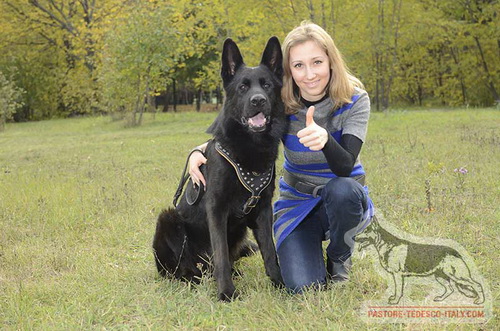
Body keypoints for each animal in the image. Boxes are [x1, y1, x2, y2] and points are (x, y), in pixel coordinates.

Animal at [152, 37, 286, 302]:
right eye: (243, 87)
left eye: (266, 85)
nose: (258, 100)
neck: (249, 147)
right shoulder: (216, 209)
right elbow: (221, 254)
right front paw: (226, 293)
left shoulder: (263, 210)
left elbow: (270, 250)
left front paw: (279, 283)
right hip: (168, 219)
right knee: (182, 269)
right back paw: (193, 278)